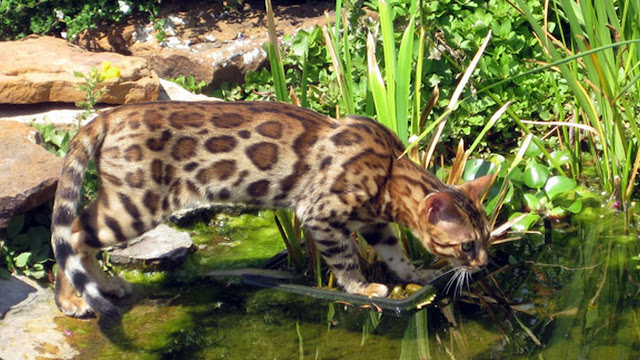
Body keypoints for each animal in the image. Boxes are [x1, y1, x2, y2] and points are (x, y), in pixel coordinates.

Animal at [50, 101, 492, 318]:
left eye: (487, 238)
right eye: (467, 245)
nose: (484, 263)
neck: (389, 172)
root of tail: (112, 111)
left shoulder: (376, 224)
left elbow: (396, 254)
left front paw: (417, 275)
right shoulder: (318, 214)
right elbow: (346, 261)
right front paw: (362, 287)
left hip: (123, 198)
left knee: (79, 232)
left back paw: (104, 287)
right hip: (137, 204)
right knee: (72, 235)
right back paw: (74, 301)